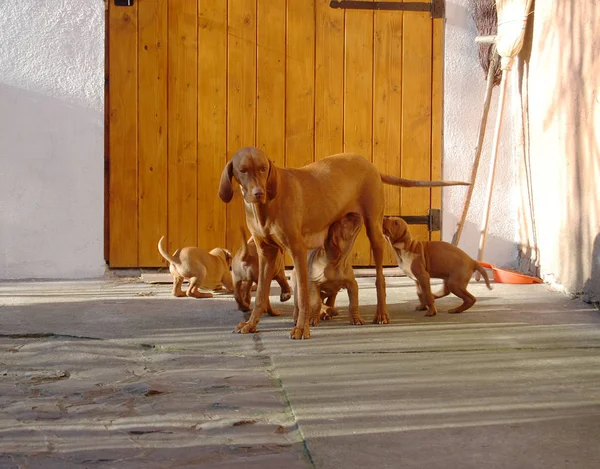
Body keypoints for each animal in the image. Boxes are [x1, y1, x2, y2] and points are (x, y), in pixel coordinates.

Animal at [219, 145, 468, 336]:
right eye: (243, 170)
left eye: (263, 169)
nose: (258, 193)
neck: (265, 207)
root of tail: (370, 164)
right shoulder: (266, 253)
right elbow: (261, 295)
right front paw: (250, 324)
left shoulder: (297, 251)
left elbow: (303, 296)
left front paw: (302, 328)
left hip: (375, 231)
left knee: (379, 278)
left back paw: (380, 313)